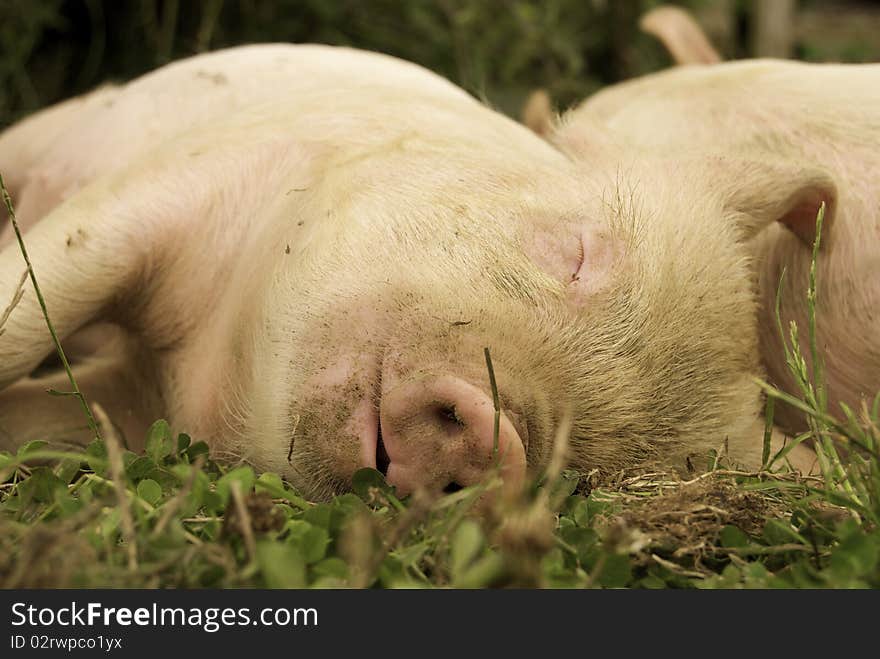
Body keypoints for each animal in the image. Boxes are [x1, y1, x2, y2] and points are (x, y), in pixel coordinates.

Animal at [0, 43, 816, 498]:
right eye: (578, 254)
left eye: (595, 470)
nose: (494, 439)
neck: (214, 366)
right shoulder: (189, 177)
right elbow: (37, 295)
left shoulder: (135, 400)